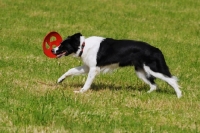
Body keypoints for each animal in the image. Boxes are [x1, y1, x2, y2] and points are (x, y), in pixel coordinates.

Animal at [51, 32, 181, 98]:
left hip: (154, 69)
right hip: (140, 71)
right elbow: (70, 70)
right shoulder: (87, 67)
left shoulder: (93, 69)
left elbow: (87, 82)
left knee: (172, 80)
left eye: (62, 45)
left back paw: (179, 95)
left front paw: (81, 92)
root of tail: (157, 49)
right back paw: (146, 94)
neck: (83, 45)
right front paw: (60, 80)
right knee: (154, 85)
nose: (52, 50)